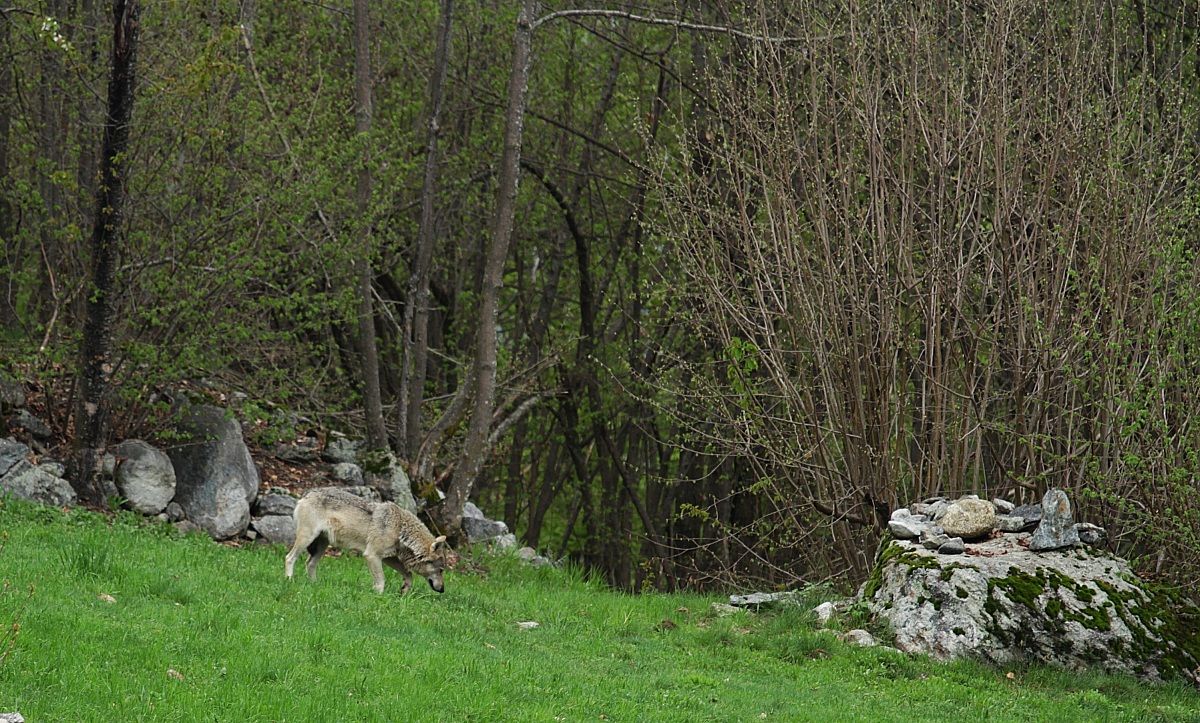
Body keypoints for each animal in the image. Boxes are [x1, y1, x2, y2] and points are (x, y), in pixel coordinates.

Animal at [285, 487, 450, 593]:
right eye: (441, 570)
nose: (442, 590)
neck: (400, 529)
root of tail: (308, 493)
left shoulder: (388, 558)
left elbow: (409, 574)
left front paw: (404, 591)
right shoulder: (372, 555)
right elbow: (381, 581)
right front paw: (378, 597)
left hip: (321, 546)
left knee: (310, 564)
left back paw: (314, 585)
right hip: (307, 538)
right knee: (289, 557)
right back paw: (289, 580)